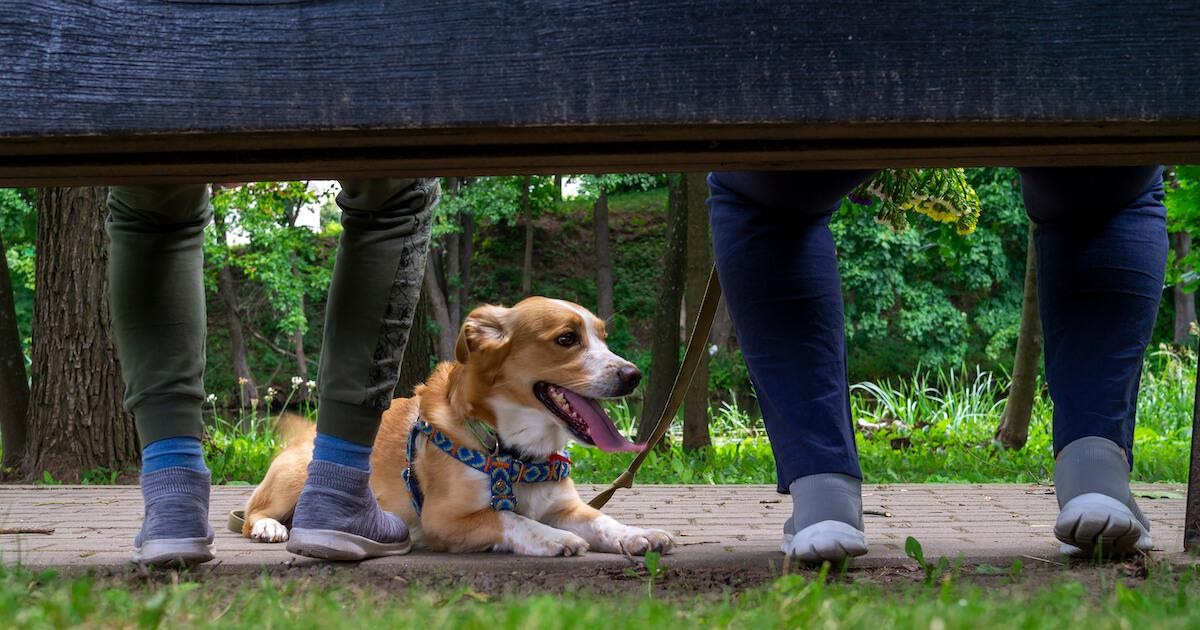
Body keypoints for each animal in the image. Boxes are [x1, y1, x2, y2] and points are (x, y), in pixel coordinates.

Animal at [241, 296, 676, 554]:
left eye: (603, 338)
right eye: (567, 338)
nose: (633, 375)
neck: (512, 453)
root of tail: (307, 433)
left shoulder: (565, 506)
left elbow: (603, 520)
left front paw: (635, 534)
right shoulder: (444, 519)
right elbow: (511, 518)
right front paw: (553, 538)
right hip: (297, 477)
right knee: (251, 514)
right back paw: (270, 528)